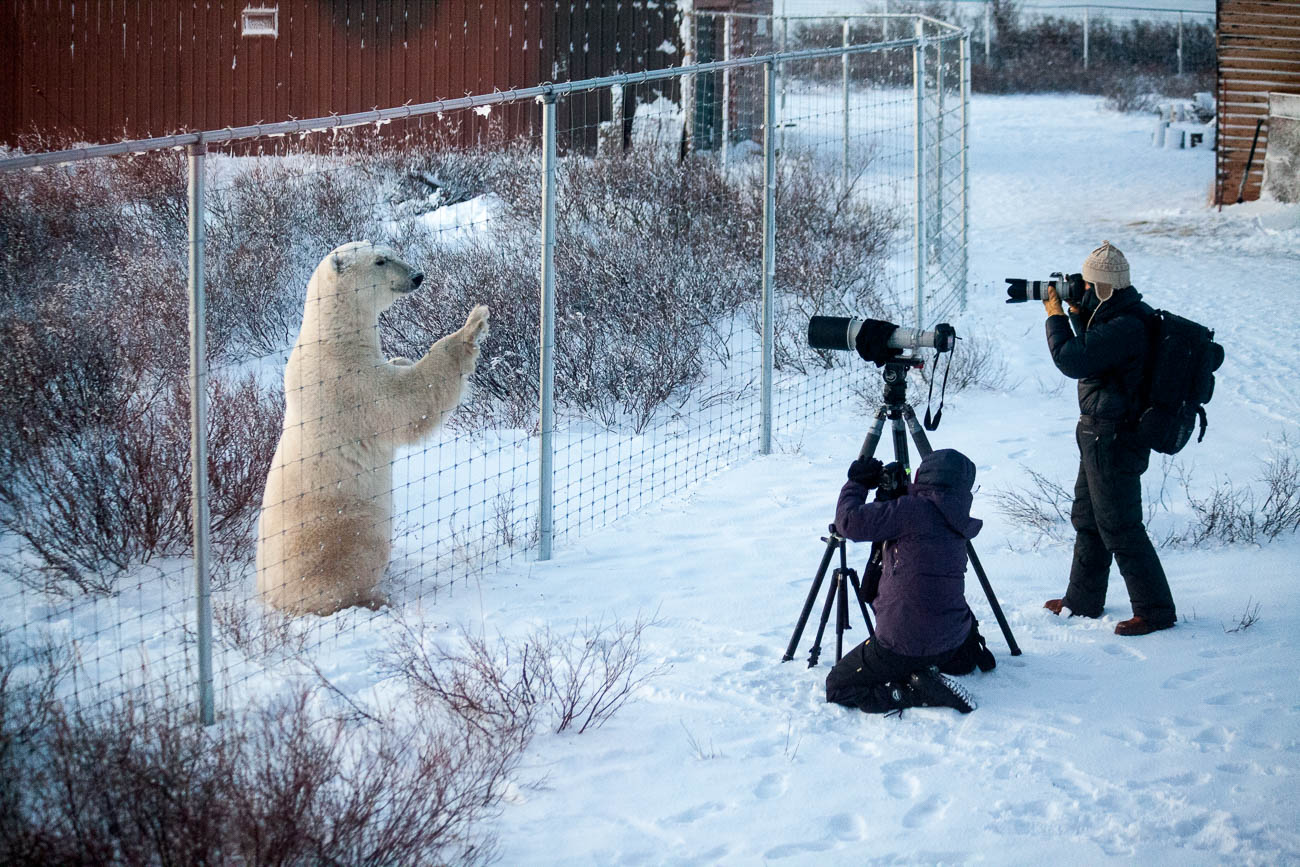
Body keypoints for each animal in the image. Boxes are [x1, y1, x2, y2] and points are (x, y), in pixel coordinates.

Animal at [256, 241, 489, 616]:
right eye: (381, 261)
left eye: (392, 251)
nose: (418, 276)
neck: (332, 338)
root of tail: (274, 598)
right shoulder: (351, 384)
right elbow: (408, 401)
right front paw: (473, 325)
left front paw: (401, 357)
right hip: (338, 533)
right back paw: (377, 599)